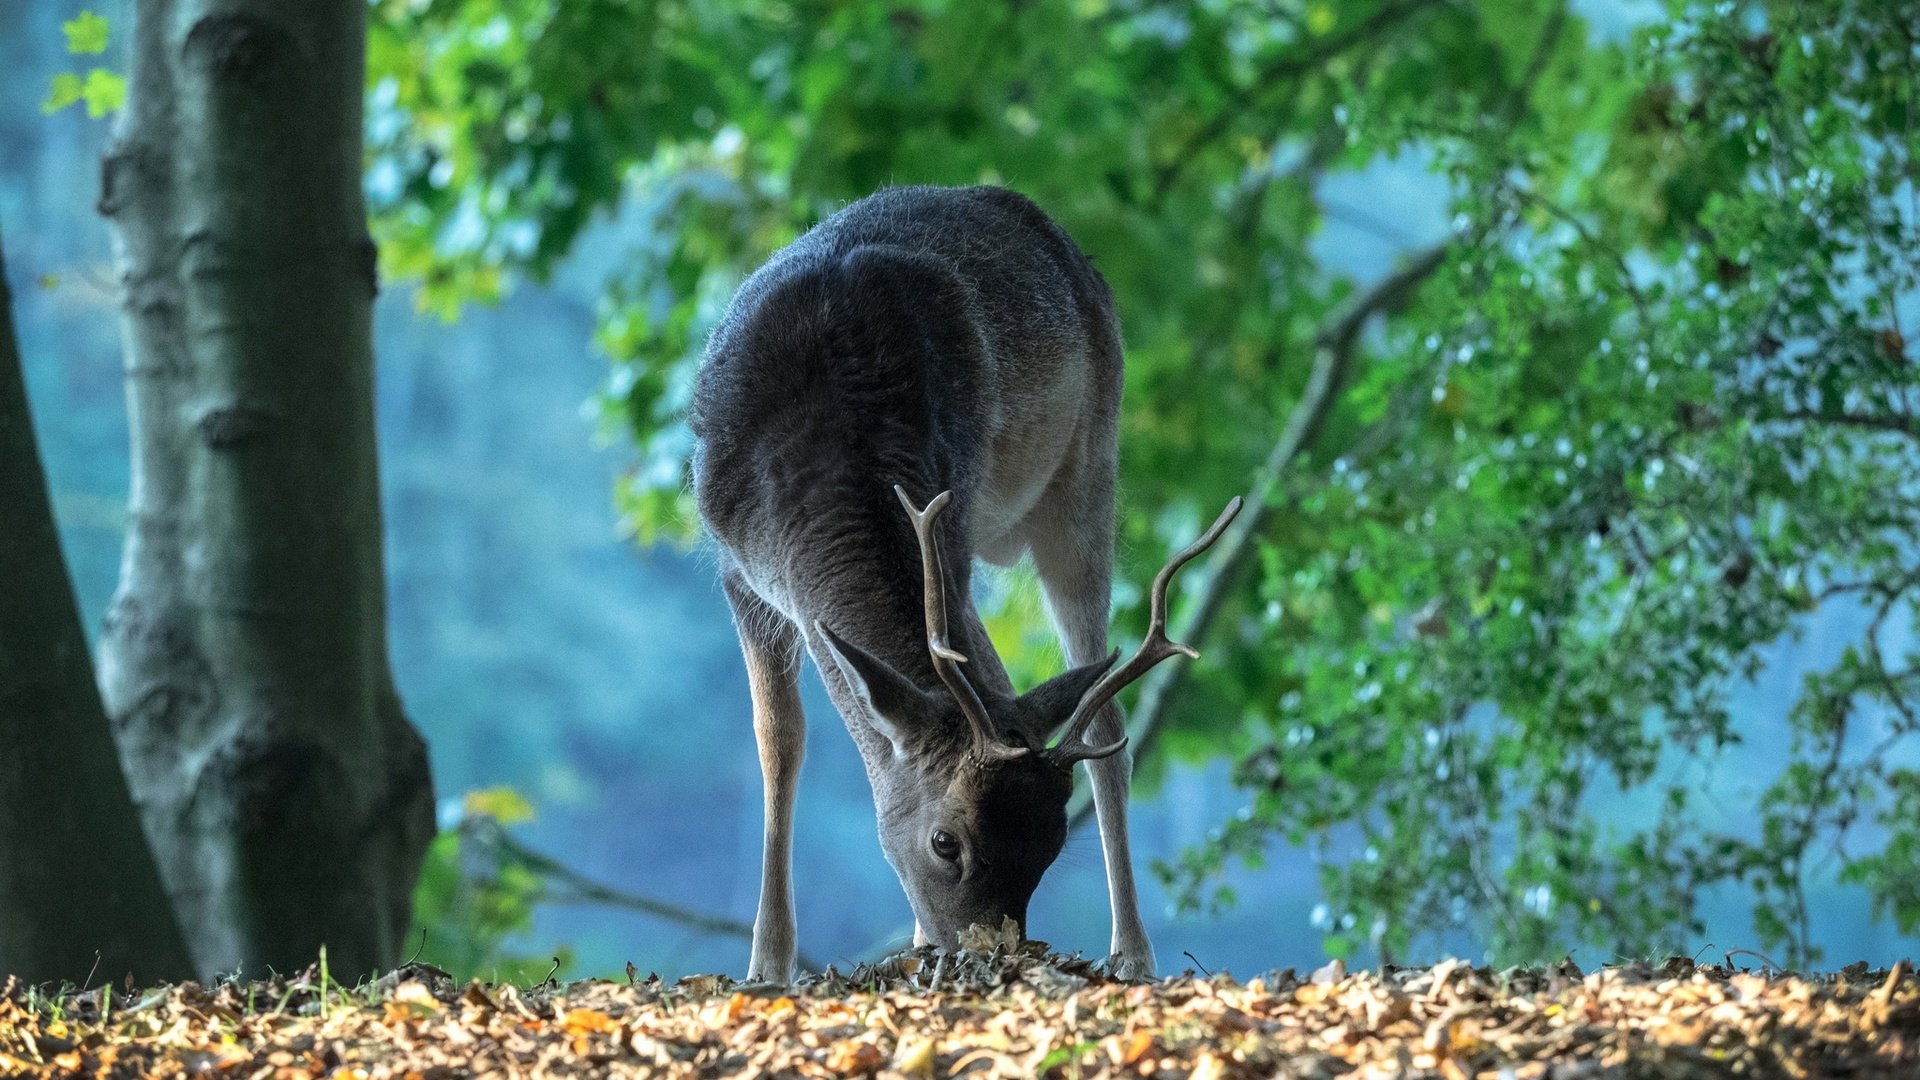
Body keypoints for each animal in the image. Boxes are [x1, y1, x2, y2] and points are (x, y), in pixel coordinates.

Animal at [695, 187, 1244, 983]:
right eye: (944, 842)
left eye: (1050, 847)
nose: (989, 955)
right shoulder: (737, 569)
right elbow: (780, 741)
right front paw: (768, 964)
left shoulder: (947, 522)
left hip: (1088, 469)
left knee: (1106, 727)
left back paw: (1133, 952)